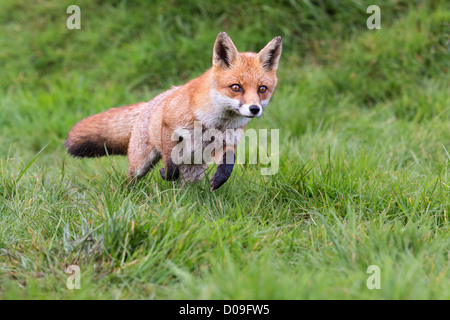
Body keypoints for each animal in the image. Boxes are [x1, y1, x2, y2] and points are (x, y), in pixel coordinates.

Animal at [64, 33, 282, 190]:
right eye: (236, 87)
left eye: (262, 89)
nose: (254, 109)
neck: (216, 123)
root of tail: (150, 102)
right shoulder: (169, 126)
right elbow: (170, 167)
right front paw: (166, 173)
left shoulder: (227, 142)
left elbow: (229, 164)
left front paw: (220, 179)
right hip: (140, 165)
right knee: (131, 179)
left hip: (195, 170)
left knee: (186, 186)